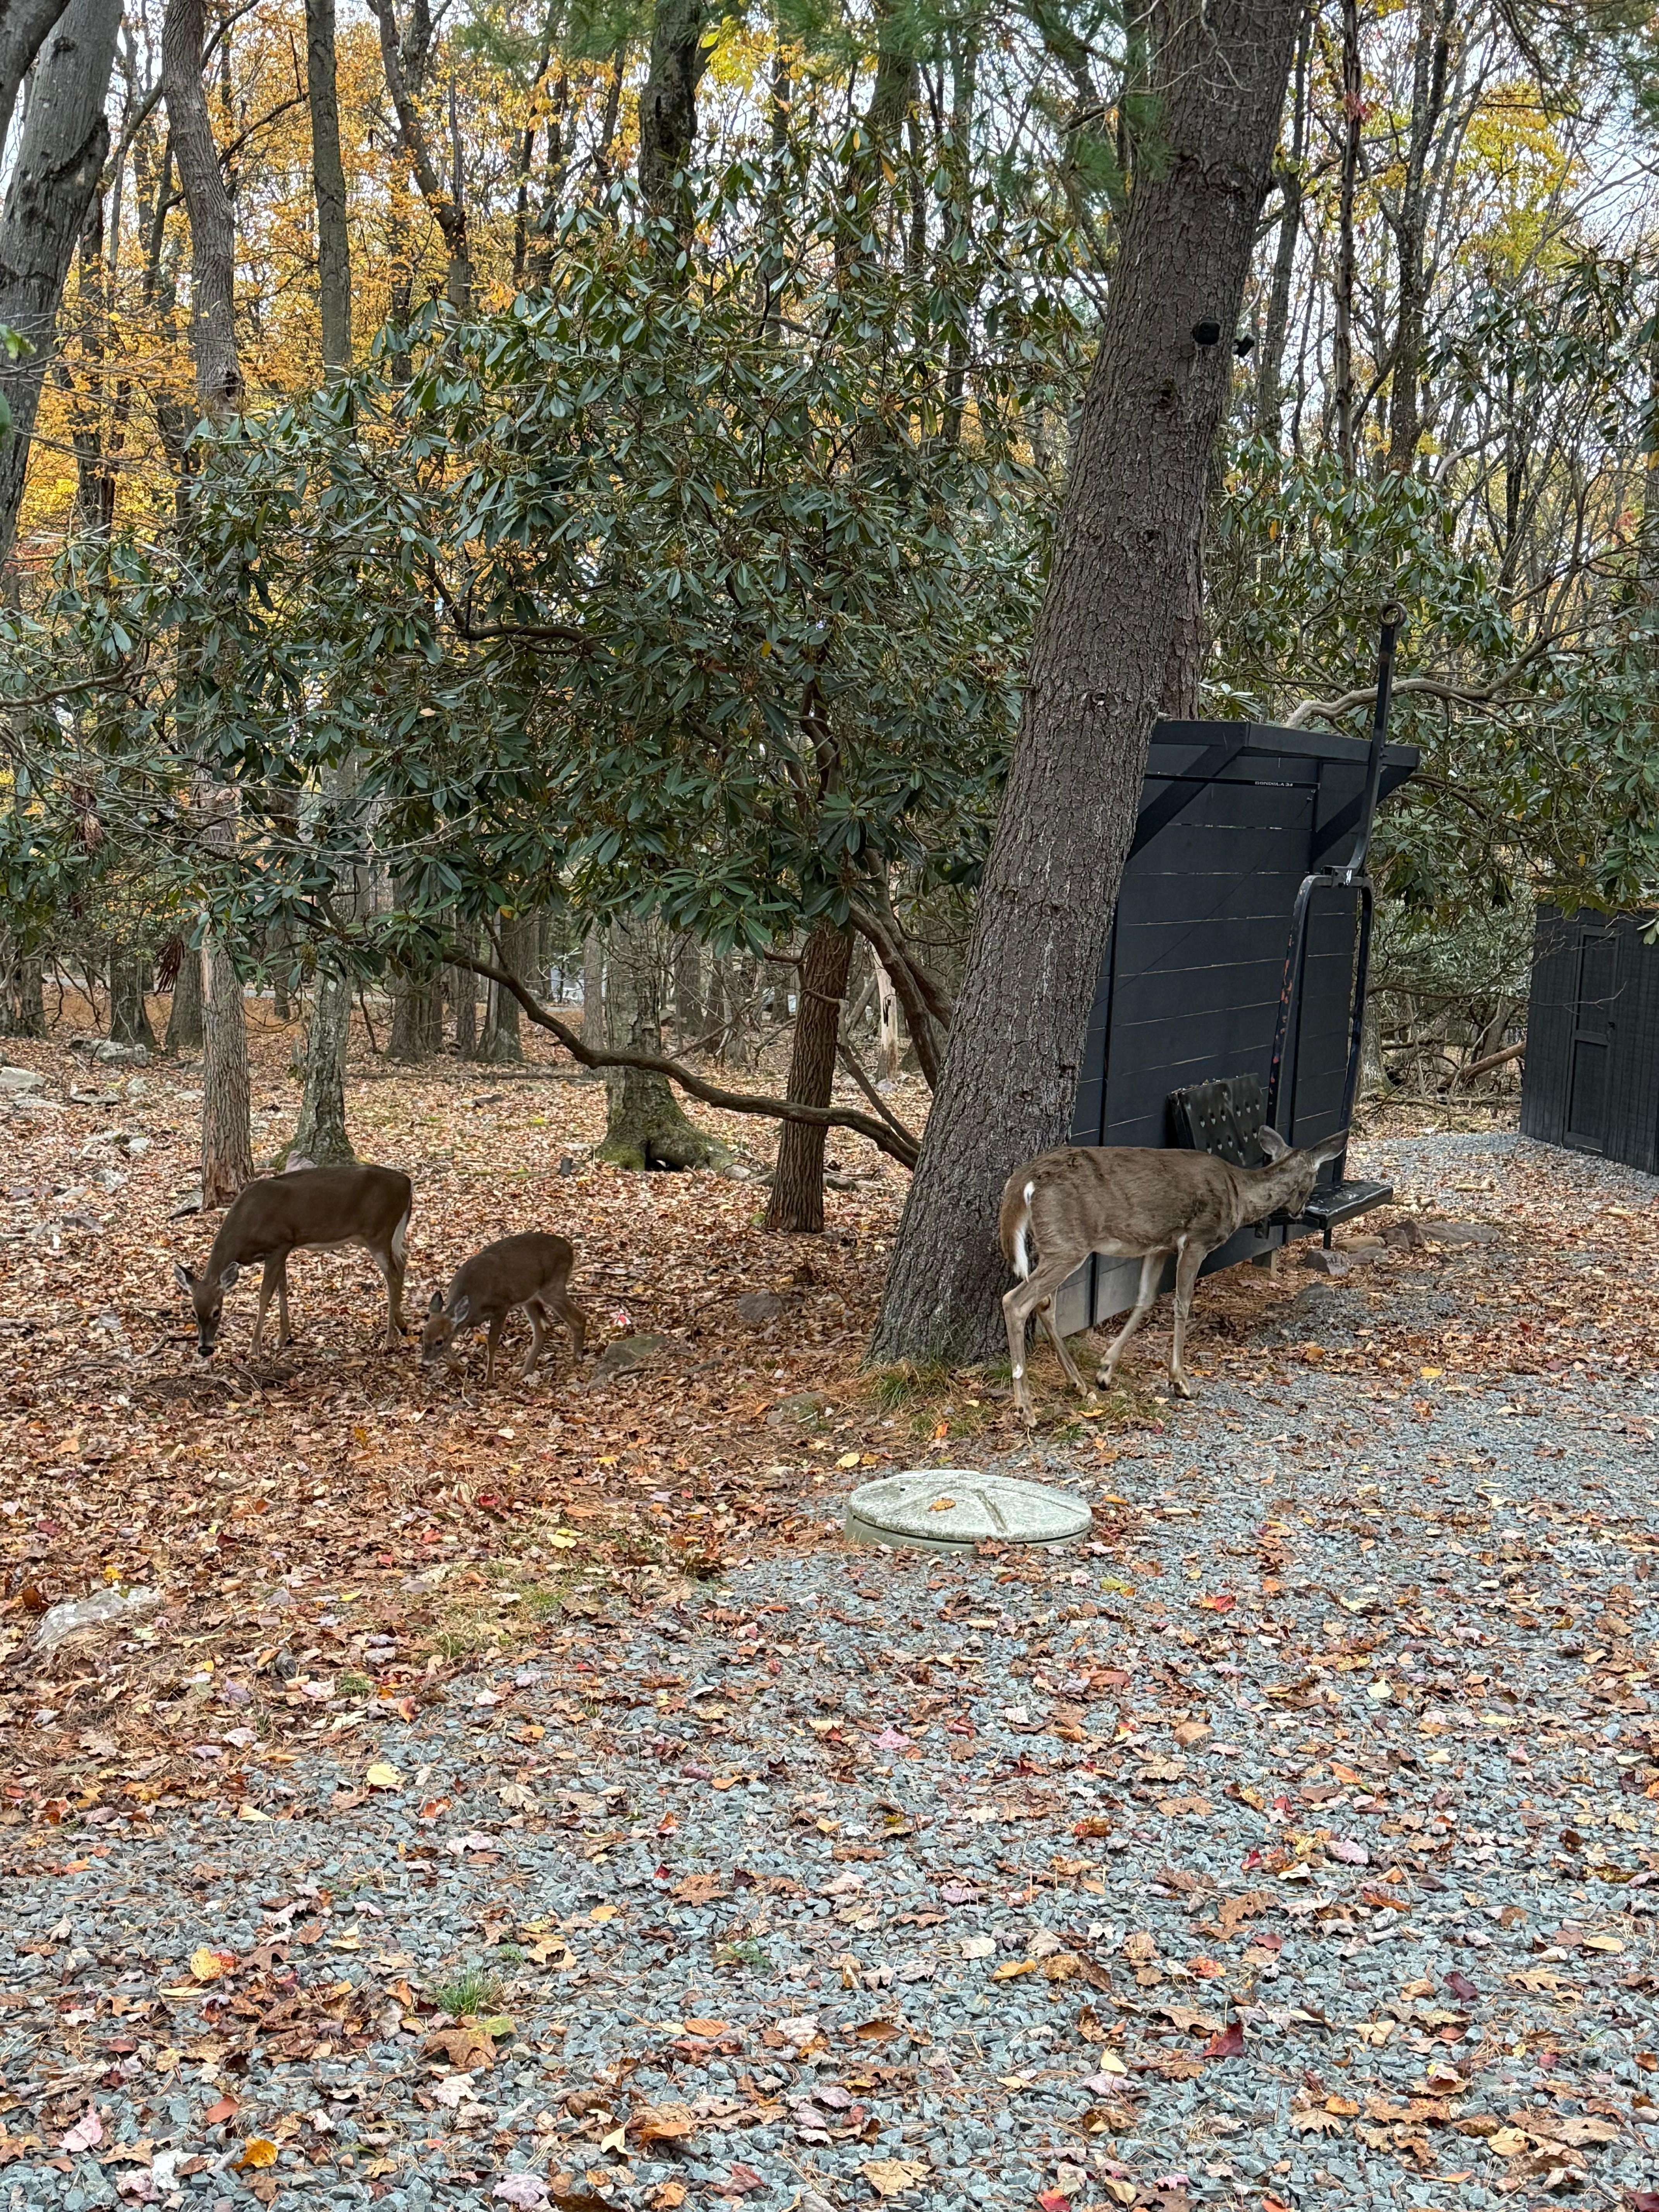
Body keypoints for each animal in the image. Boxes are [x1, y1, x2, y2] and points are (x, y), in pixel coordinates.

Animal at [174, 1164, 413, 1358]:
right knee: (402, 1259)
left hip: (379, 1233)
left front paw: (255, 1348)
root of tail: (407, 1183)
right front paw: (283, 1337)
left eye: (217, 1311)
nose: (205, 1349)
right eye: (193, 1312)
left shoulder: (280, 1243)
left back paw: (389, 1342)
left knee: (392, 1275)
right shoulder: (281, 1250)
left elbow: (265, 1294)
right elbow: (282, 1287)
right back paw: (403, 1326)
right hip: (390, 1234)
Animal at [420, 1232, 589, 1386]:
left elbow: (492, 1342)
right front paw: (456, 1368)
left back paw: (577, 1357)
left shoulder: (501, 1307)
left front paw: (489, 1379)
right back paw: (524, 1370)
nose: (425, 1363)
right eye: (423, 1337)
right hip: (530, 1297)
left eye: (439, 1342)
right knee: (543, 1328)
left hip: (553, 1287)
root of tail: (570, 1249)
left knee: (579, 1318)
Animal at [998, 1129, 1347, 1422]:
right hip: (1067, 1243)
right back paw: (1026, 1409)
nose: (1299, 1212)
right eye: (1314, 1179)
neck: (1239, 1194)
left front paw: (1106, 1372)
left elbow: (1145, 1299)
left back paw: (1078, 1384)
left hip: (1059, 1244)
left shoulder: (1159, 1246)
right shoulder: (1197, 1239)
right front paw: (1181, 1381)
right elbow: (1182, 1304)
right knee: (1016, 1301)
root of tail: (1024, 1179)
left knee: (1045, 1304)